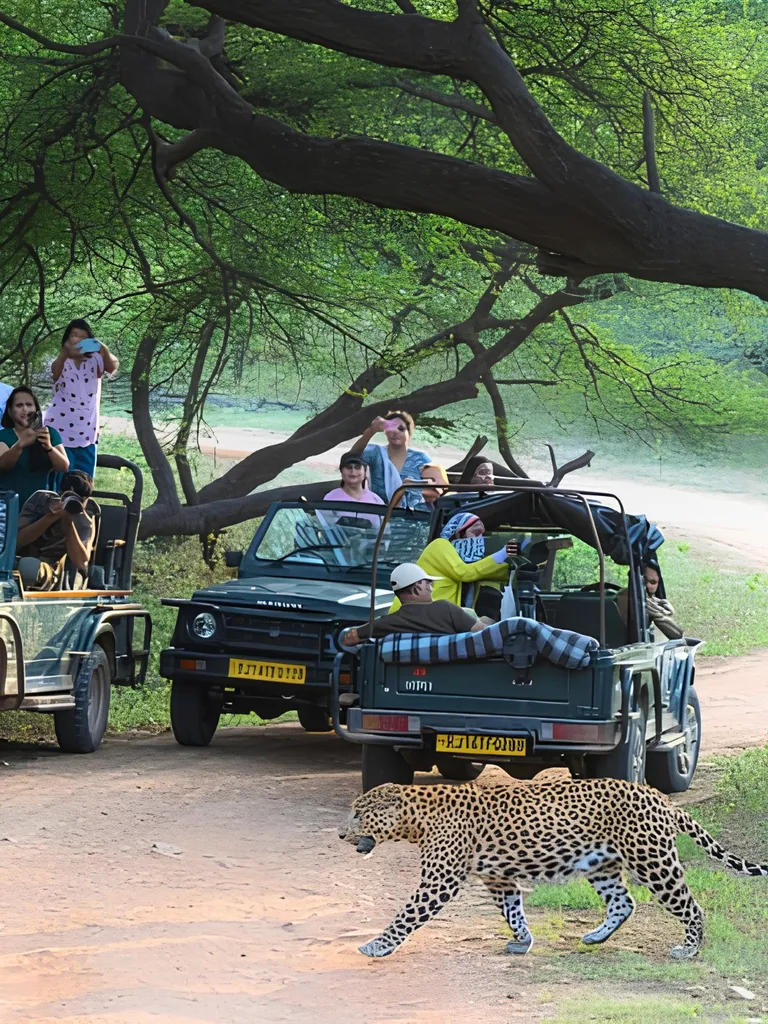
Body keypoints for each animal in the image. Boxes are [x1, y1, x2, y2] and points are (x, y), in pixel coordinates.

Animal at [339, 778, 768, 960]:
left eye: (359, 813)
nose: (341, 833)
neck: (415, 819)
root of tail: (662, 798)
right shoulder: (498, 877)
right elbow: (512, 910)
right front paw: (523, 941)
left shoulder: (439, 880)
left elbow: (406, 916)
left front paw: (376, 945)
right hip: (601, 863)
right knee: (623, 902)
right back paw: (595, 937)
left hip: (653, 862)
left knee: (691, 907)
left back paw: (689, 950)